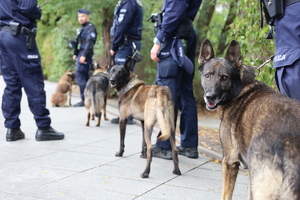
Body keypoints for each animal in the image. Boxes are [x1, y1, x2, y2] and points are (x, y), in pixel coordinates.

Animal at [198, 38, 300, 199]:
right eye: (207, 75)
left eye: (224, 78)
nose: (210, 97)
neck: (239, 88)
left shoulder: (229, 161)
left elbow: (225, 195)